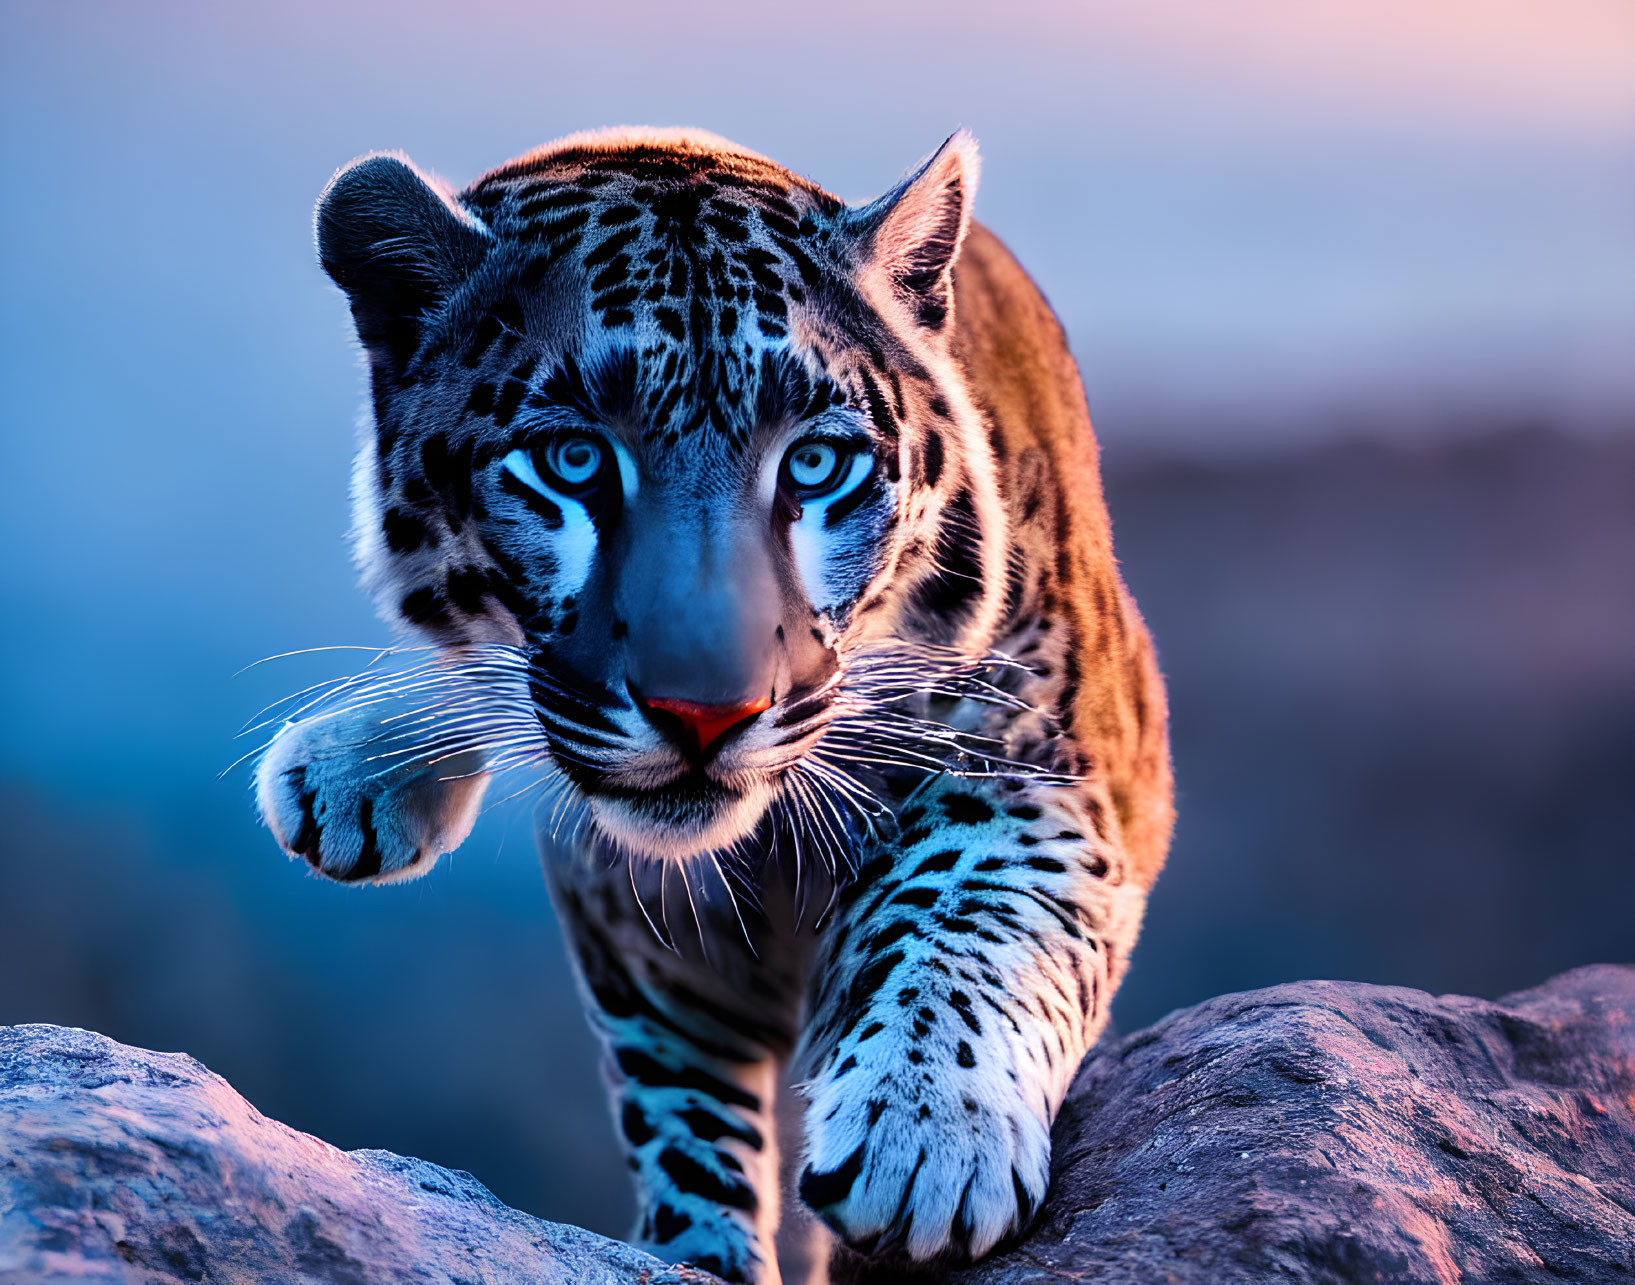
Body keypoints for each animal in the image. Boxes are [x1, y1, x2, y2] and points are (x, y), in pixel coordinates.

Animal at [255, 122, 1170, 1281]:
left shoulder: (1053, 749)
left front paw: (925, 1136)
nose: (704, 714)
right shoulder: (645, 957)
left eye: (816, 464)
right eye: (571, 460)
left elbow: (969, 904)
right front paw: (704, 1246)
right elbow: (682, 1120)